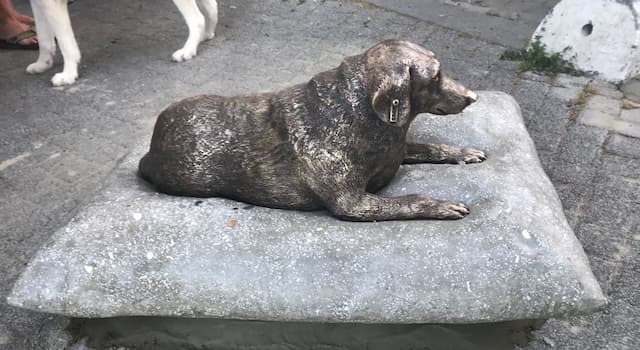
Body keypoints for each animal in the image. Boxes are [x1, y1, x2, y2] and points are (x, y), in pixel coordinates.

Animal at [28, 0, 218, 86]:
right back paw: (206, 35)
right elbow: (44, 40)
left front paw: (68, 75)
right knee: (211, 7)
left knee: (197, 18)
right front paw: (42, 64)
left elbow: (66, 46)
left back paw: (188, 50)